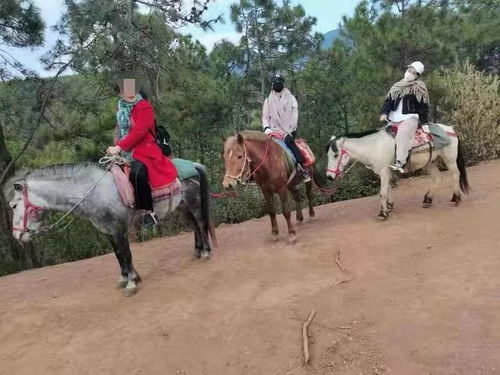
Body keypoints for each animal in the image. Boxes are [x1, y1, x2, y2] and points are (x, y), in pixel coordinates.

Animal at [2, 163, 216, 296]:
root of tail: (193, 164)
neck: (95, 193)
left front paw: (131, 283)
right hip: (182, 207)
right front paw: (125, 278)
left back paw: (206, 252)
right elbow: (118, 255)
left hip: (194, 203)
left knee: (201, 224)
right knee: (195, 227)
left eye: (13, 205)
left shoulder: (118, 227)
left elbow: (125, 253)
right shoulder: (108, 231)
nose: (17, 234)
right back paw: (197, 251)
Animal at [326, 125, 470, 220]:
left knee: (455, 175)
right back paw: (428, 199)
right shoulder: (385, 172)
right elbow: (388, 189)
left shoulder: (384, 171)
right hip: (430, 162)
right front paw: (389, 206)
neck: (374, 147)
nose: (329, 176)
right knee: (437, 178)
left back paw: (456, 198)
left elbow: (382, 193)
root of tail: (451, 129)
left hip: (449, 159)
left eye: (336, 155)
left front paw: (382, 213)